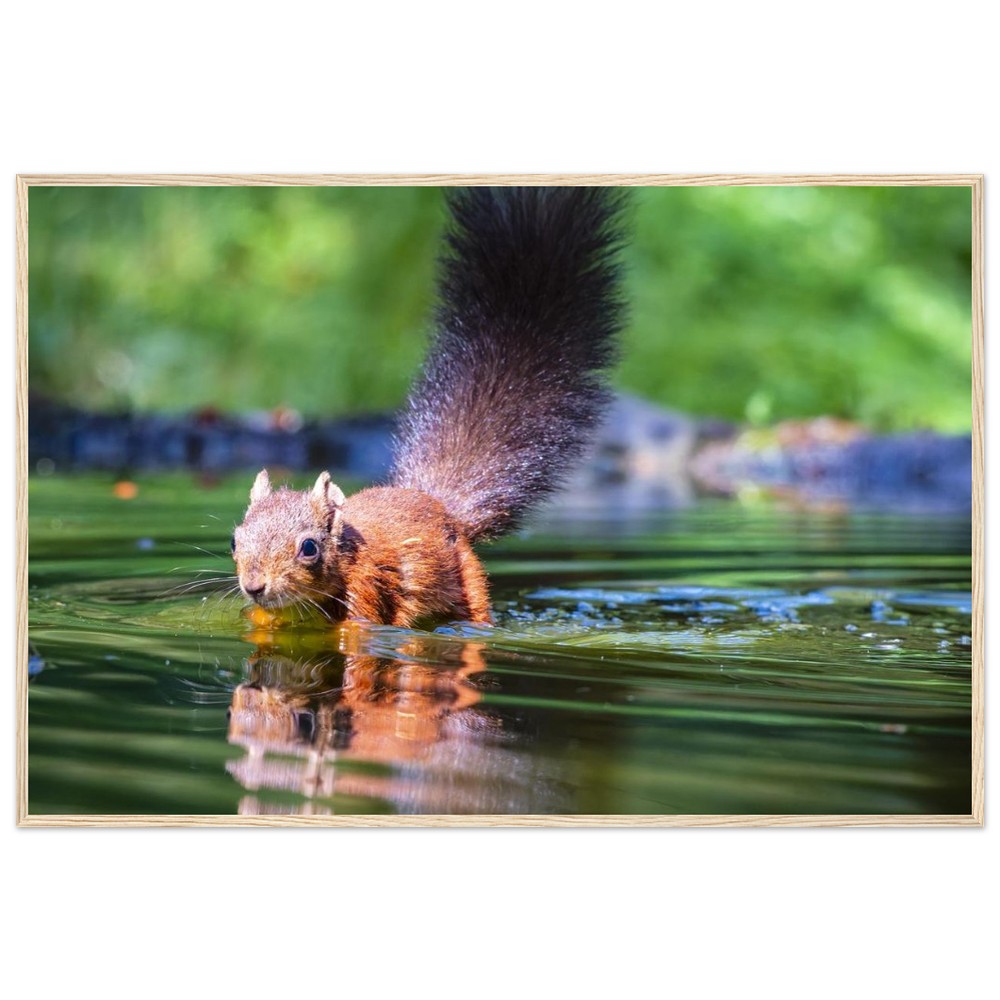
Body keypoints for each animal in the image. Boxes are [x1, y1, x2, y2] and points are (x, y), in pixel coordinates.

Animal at [231, 186, 627, 628]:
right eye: (234, 539)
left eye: (309, 548)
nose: (254, 586)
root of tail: (439, 505)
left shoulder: (368, 586)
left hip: (468, 576)